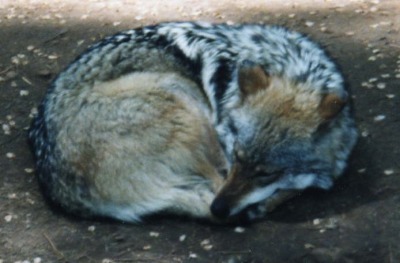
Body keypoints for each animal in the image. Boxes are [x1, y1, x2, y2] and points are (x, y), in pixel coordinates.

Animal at [28, 21, 360, 223]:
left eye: (266, 173)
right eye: (237, 155)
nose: (220, 209)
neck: (293, 69)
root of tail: (66, 191)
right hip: (181, 97)